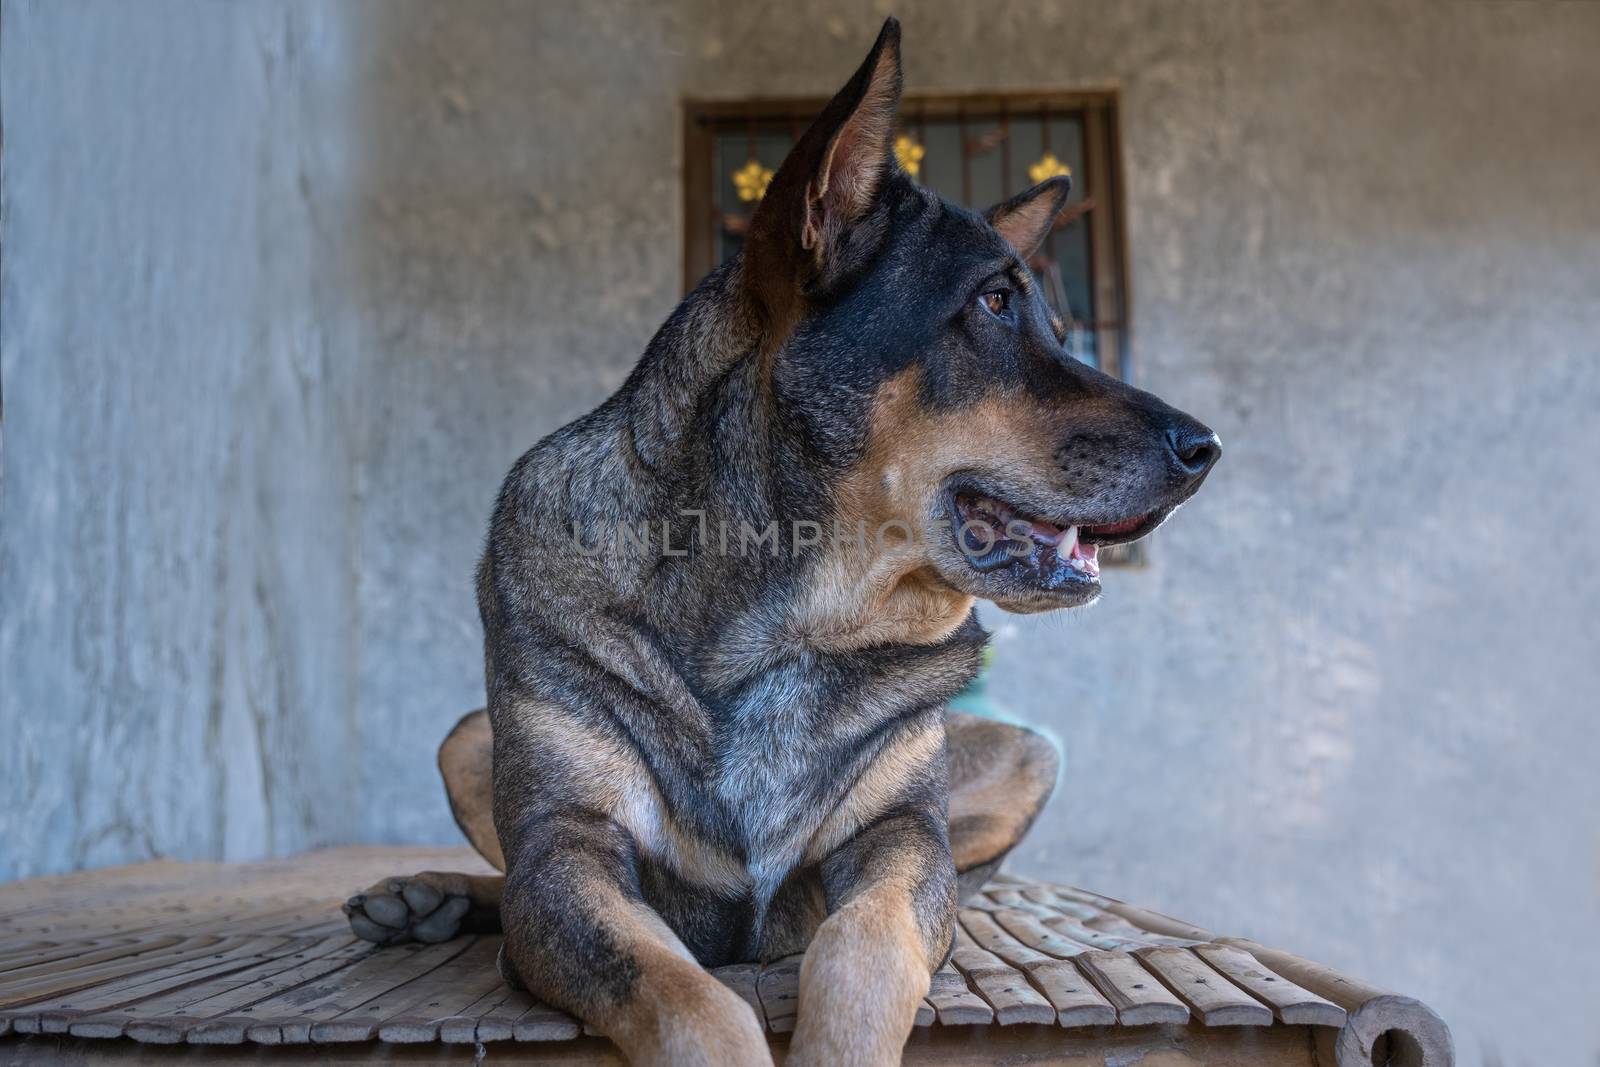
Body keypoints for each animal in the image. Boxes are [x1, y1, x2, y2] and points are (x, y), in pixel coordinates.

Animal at [344, 16, 1216, 1067]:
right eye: (995, 304)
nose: (1206, 448)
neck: (780, 623)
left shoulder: (900, 841)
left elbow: (862, 946)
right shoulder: (568, 854)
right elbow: (681, 990)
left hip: (1021, 760)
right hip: (471, 740)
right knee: (506, 878)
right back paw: (433, 898)